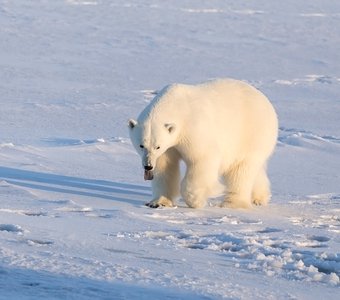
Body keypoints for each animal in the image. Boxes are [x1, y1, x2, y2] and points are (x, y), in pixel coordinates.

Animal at [129, 78, 278, 209]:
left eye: (157, 146)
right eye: (141, 145)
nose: (148, 166)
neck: (177, 106)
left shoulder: (194, 129)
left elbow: (202, 158)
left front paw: (195, 200)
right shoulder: (168, 148)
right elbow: (165, 167)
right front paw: (159, 202)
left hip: (251, 133)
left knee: (241, 169)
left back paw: (232, 203)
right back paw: (259, 198)